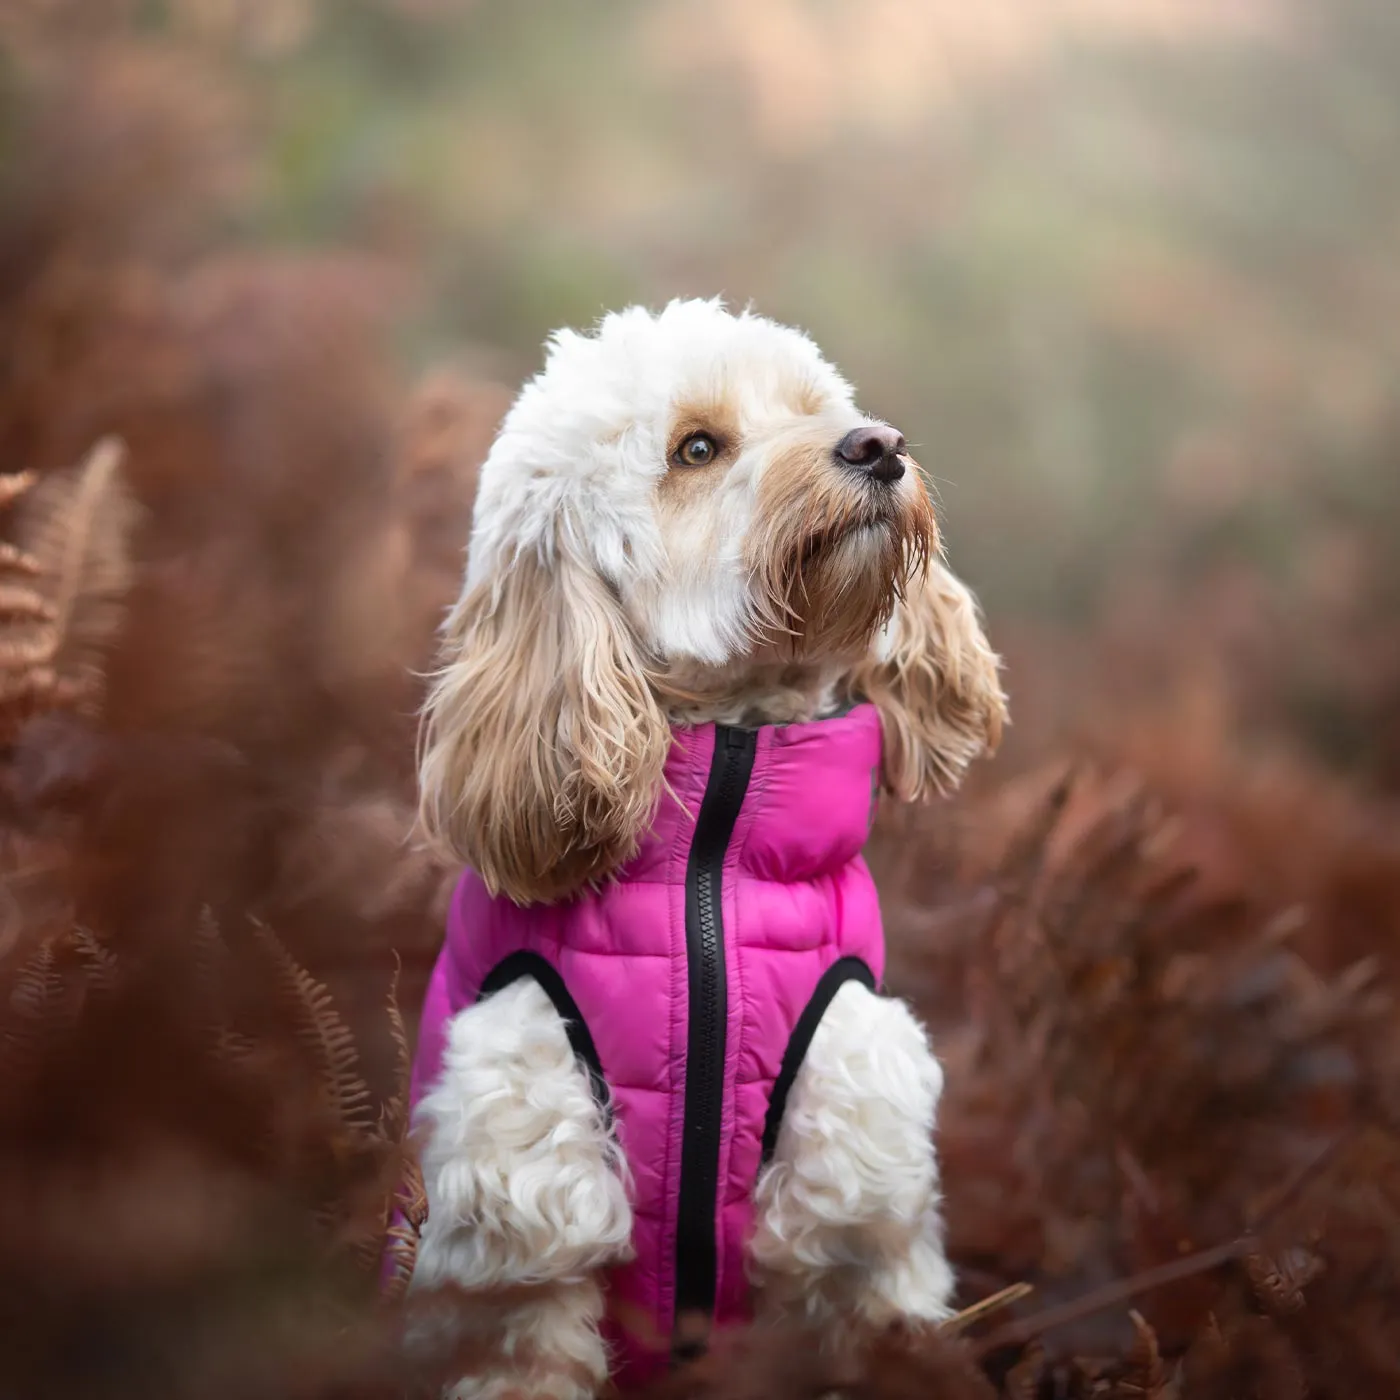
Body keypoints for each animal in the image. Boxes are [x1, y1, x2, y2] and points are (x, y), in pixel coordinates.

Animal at [406, 298, 1008, 1400]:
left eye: (817, 408)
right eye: (697, 448)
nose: (879, 446)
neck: (713, 863)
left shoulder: (856, 1203)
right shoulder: (523, 1231)